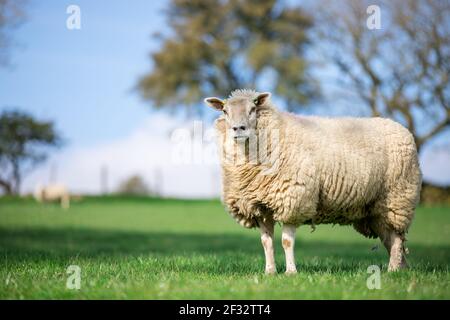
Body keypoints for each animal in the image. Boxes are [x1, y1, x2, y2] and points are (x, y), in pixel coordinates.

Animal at [204, 89, 422, 274]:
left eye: (253, 108)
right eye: (224, 110)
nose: (238, 128)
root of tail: (400, 127)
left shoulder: (293, 199)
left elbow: (286, 242)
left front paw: (291, 272)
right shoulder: (260, 207)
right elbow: (266, 242)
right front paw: (270, 272)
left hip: (398, 198)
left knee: (396, 238)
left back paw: (393, 270)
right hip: (375, 208)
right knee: (390, 239)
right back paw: (402, 268)